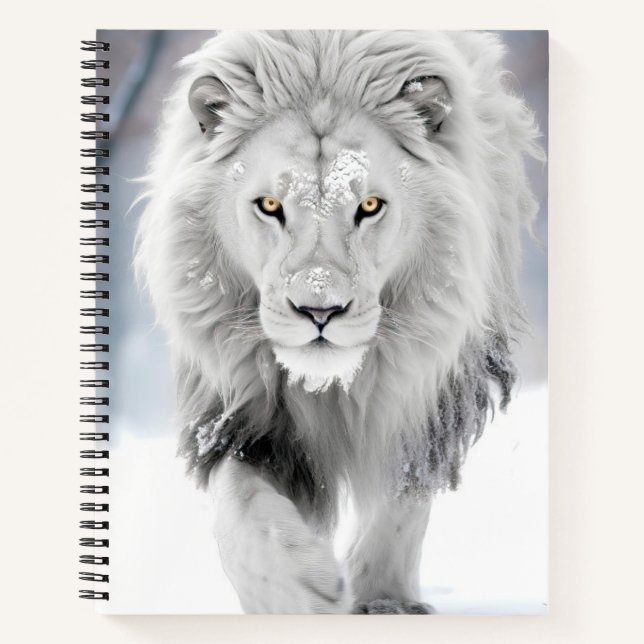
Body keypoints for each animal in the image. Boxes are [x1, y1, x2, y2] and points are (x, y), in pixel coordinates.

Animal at [135, 30, 543, 614]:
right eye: (269, 205)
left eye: (369, 206)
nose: (320, 311)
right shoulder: (236, 410)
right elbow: (239, 507)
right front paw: (296, 593)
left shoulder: (429, 390)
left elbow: (402, 495)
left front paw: (383, 600)